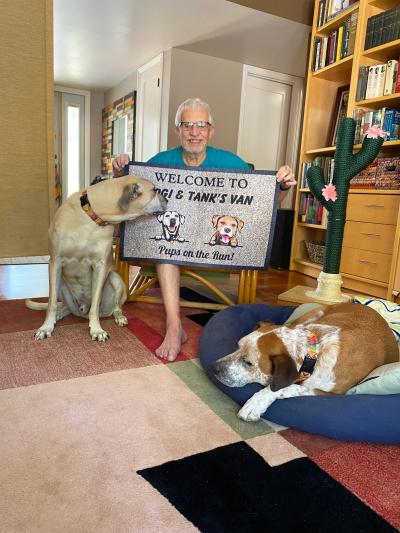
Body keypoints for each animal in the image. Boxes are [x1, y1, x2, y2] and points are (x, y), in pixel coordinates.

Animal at [26, 175, 166, 340]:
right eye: (155, 190)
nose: (166, 199)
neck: (91, 218)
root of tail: (82, 308)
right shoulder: (55, 262)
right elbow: (51, 303)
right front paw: (46, 326)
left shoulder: (100, 266)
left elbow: (95, 305)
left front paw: (96, 329)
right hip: (61, 282)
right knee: (66, 307)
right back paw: (59, 315)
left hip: (115, 279)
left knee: (115, 307)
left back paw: (119, 317)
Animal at [214, 304, 398, 420]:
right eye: (237, 346)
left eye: (248, 362)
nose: (214, 368)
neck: (313, 353)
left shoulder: (327, 393)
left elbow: (283, 388)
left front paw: (255, 403)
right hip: (312, 314)